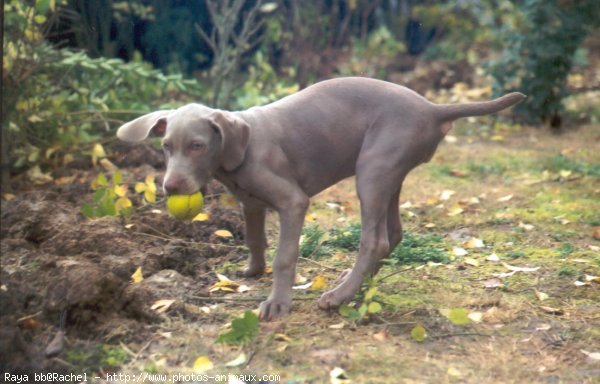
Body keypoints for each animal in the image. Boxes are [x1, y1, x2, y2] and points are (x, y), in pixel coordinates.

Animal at [118, 76, 524, 320]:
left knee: (375, 240)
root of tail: (432, 107)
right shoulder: (250, 202)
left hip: (373, 170)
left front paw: (277, 302)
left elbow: (284, 255)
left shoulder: (293, 201)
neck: (238, 151)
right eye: (166, 146)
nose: (171, 187)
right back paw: (355, 285)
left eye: (197, 146)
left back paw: (339, 296)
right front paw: (252, 271)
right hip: (388, 173)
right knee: (393, 234)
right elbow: (254, 239)